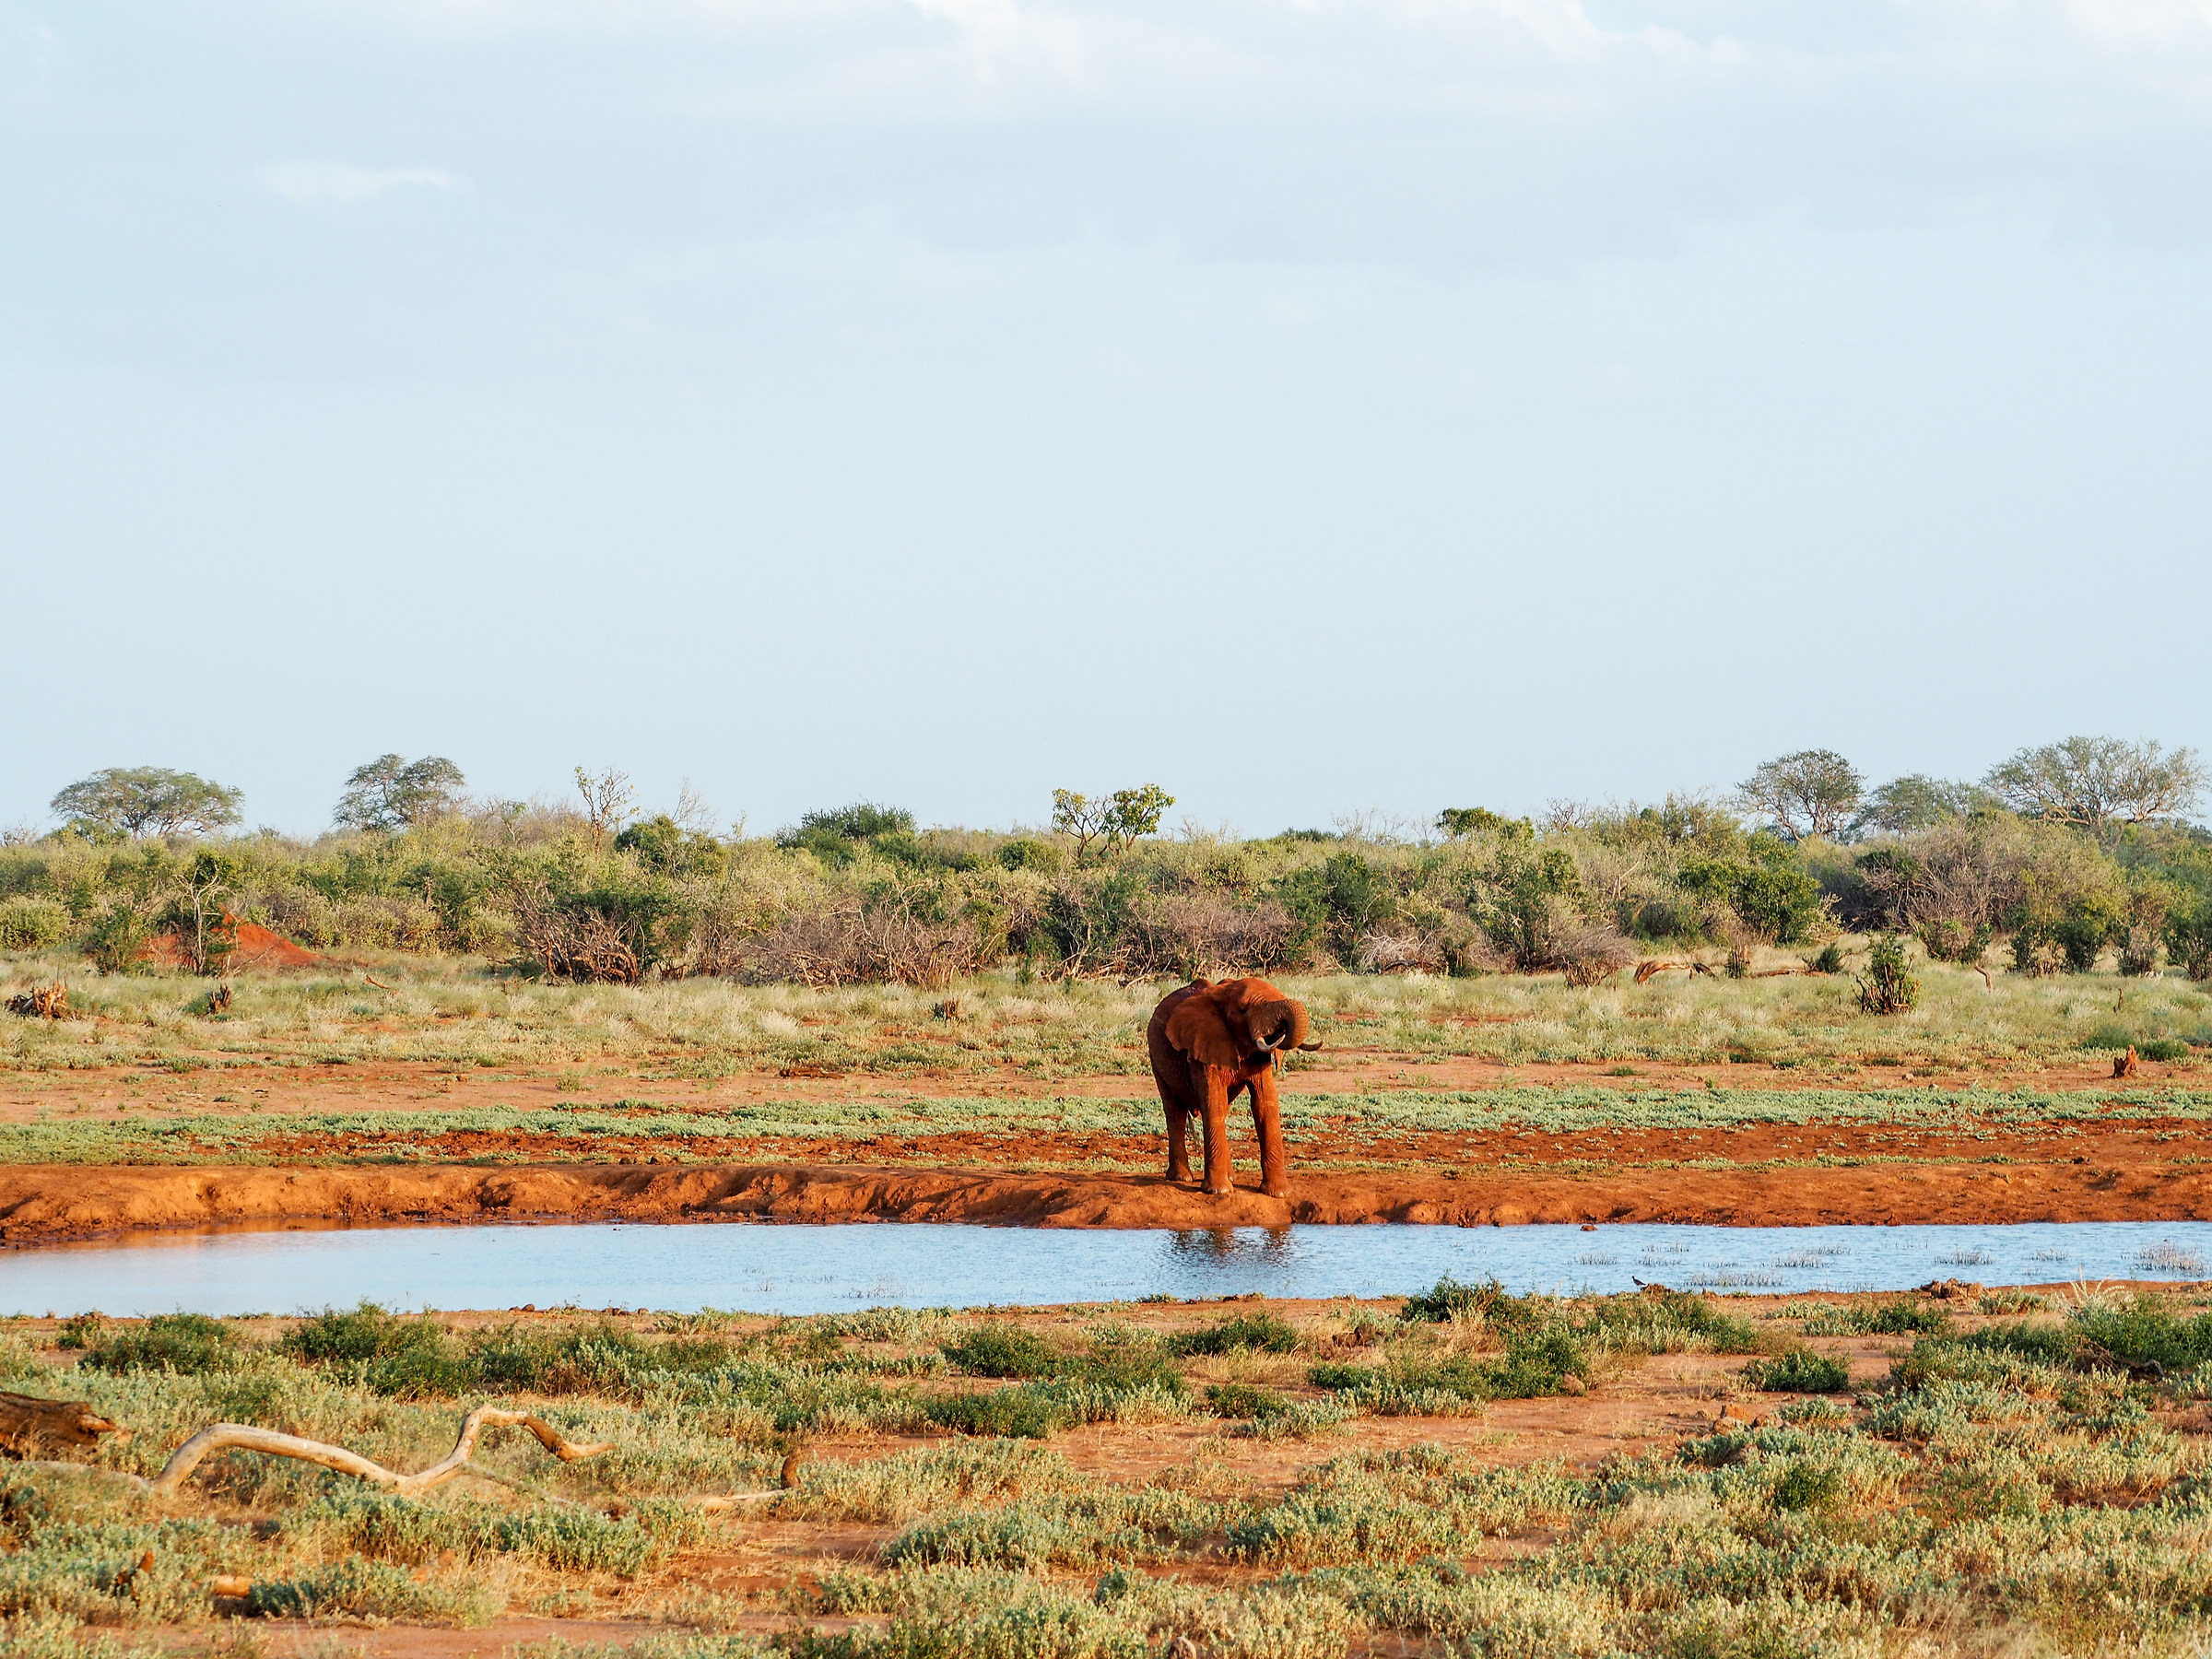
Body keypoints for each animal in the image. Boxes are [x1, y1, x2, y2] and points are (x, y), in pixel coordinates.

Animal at [1146, 977, 1321, 1198]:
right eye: (1243, 1010)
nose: (1280, 1030)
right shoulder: (1203, 1045)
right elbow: (1213, 1103)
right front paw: (1218, 1191)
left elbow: (1265, 1103)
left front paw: (1279, 1193)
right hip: (1155, 1057)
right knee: (1175, 1111)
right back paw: (1181, 1178)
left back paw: (1229, 1177)